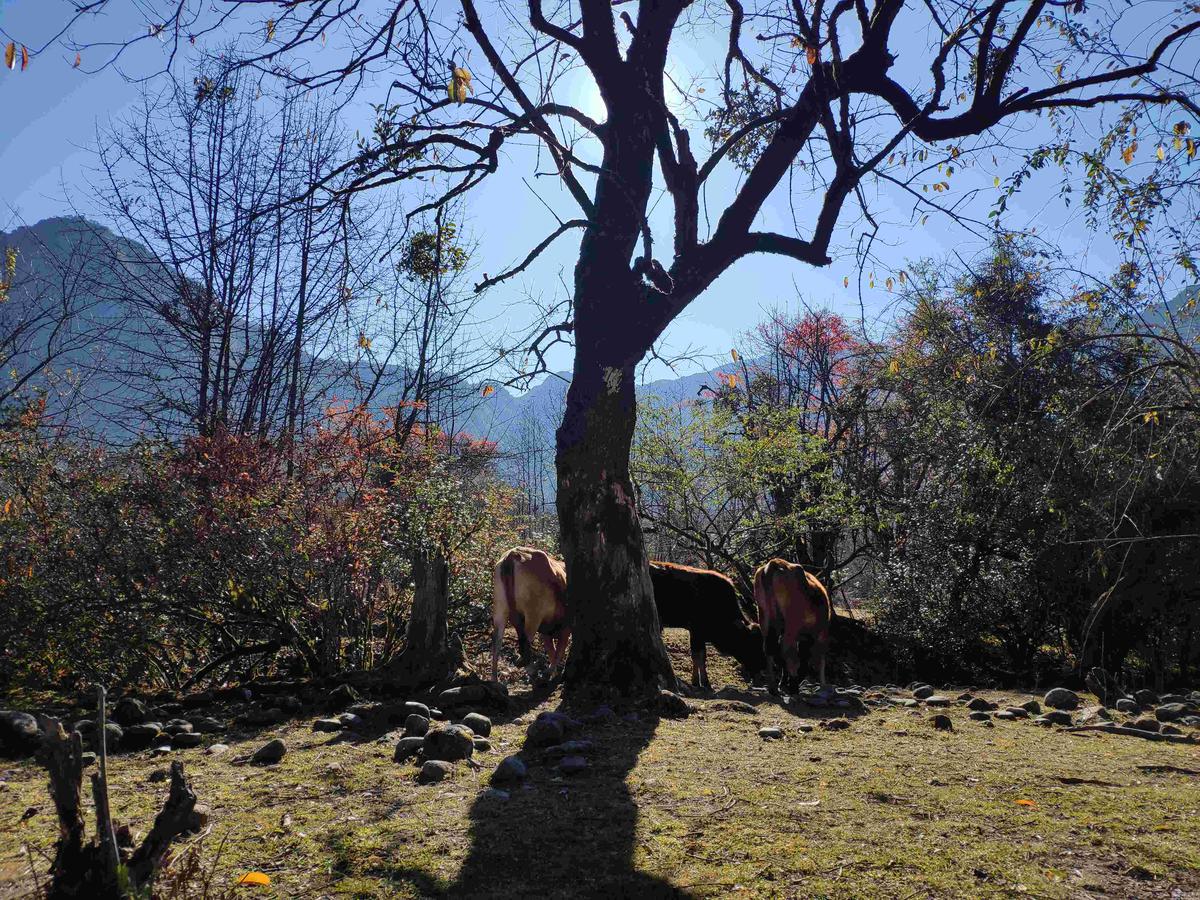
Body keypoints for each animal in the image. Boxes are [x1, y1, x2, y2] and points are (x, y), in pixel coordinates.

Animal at [491, 546, 570, 683]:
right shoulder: (566, 626)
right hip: (533, 614)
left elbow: (552, 651)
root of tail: (514, 553)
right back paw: (533, 671)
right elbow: (558, 651)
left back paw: (495, 680)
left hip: (500, 609)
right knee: (525, 643)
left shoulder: (546, 631)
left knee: (497, 643)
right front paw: (551, 673)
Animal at [649, 561, 765, 690]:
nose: (762, 666)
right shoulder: (696, 632)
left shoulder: (700, 635)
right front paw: (698, 682)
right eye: (752, 644)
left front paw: (705, 683)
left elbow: (702, 657)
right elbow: (697, 656)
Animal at [752, 558, 832, 693]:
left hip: (765, 615)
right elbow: (818, 659)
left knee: (769, 647)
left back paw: (773, 686)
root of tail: (776, 562)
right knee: (786, 648)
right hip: (792, 621)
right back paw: (793, 686)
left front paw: (784, 682)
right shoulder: (820, 634)